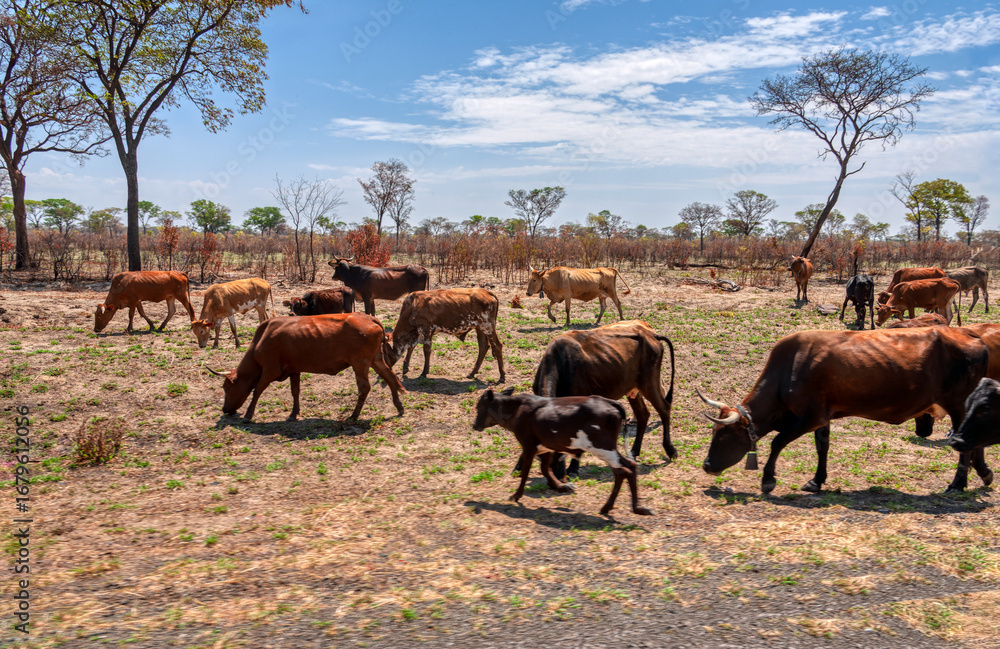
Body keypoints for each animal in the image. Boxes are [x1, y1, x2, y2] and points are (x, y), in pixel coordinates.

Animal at [207, 313, 405, 423]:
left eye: (226, 387)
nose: (225, 410)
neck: (261, 341)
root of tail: (368, 317)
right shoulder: (294, 369)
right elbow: (295, 391)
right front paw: (294, 413)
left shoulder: (270, 371)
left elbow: (257, 390)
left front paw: (248, 415)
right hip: (375, 360)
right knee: (390, 378)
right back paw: (399, 407)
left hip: (360, 363)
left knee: (364, 387)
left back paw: (353, 416)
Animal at [473, 388, 653, 516]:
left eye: (479, 407)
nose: (474, 425)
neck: (517, 409)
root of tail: (612, 403)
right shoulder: (545, 447)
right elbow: (545, 469)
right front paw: (561, 486)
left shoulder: (529, 446)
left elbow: (525, 472)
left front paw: (516, 495)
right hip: (607, 449)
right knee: (624, 469)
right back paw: (613, 507)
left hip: (603, 448)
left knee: (626, 469)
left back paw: (633, 508)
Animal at [529, 320, 675, 478]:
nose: (558, 475)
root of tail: (651, 335)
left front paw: (573, 467)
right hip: (633, 390)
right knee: (643, 415)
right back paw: (634, 451)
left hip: (649, 384)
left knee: (664, 409)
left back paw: (670, 450)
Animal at [698, 327, 991, 494]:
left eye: (724, 435)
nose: (707, 465)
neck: (789, 369)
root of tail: (972, 335)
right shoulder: (823, 417)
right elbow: (822, 447)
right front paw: (816, 481)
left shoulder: (809, 417)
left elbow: (778, 442)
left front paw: (768, 479)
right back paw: (984, 473)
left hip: (958, 405)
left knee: (967, 445)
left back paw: (957, 484)